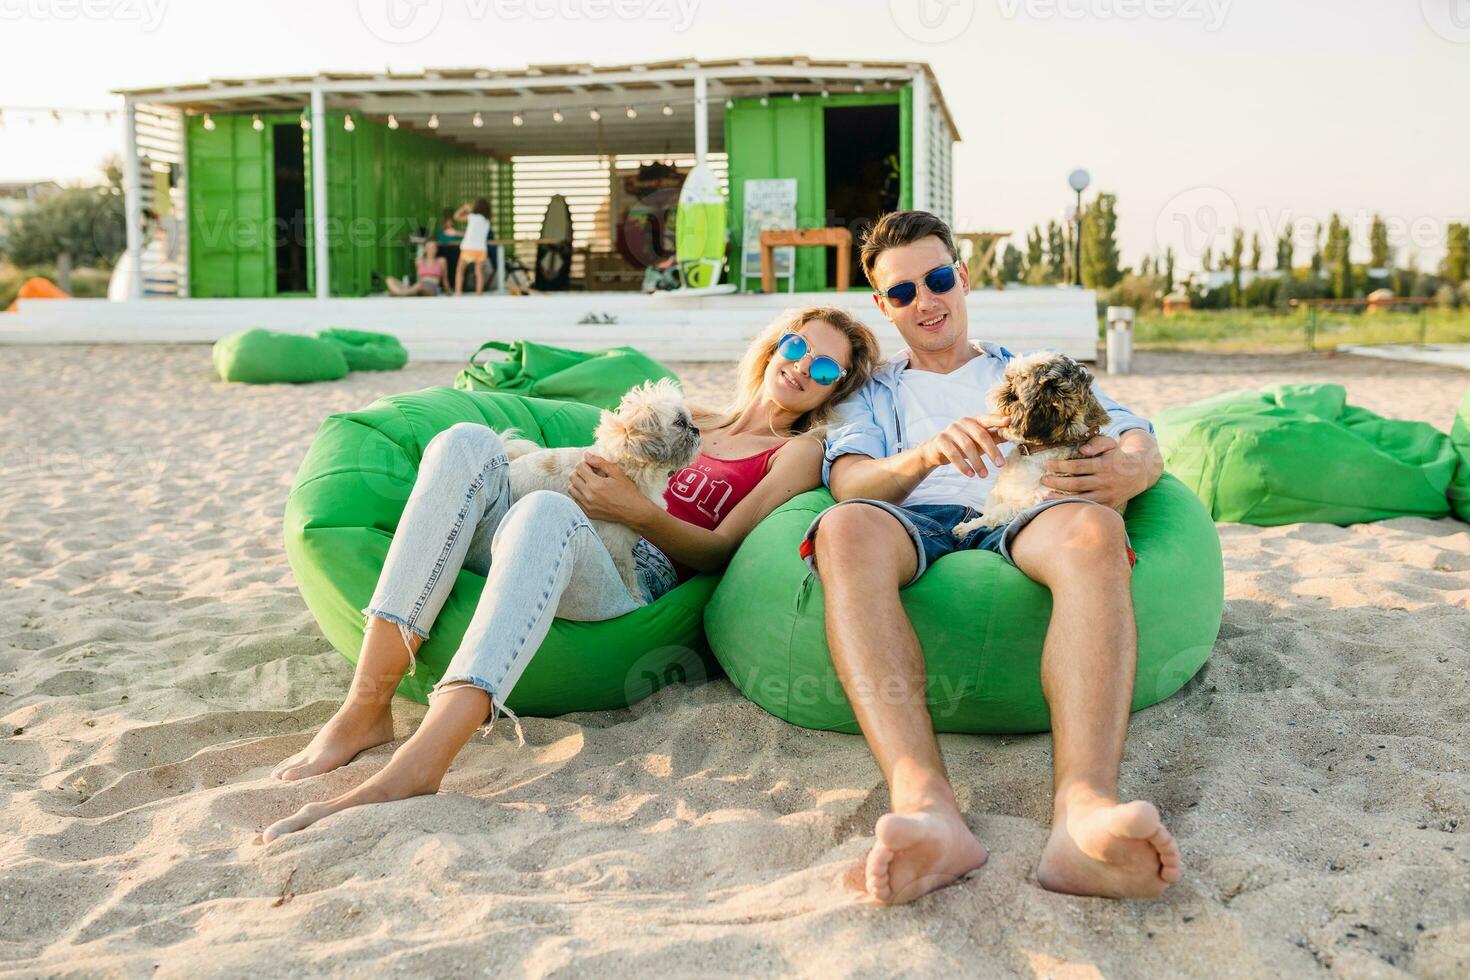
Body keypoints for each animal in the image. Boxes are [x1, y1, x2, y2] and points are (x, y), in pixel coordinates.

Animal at [496, 379, 696, 602]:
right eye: (680, 422)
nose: (696, 430)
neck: (628, 467)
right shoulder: (617, 545)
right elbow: (627, 575)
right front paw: (636, 599)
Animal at [958, 352, 1105, 537]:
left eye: (1012, 395)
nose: (997, 389)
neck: (1035, 451)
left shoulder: (1037, 498)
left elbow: (996, 512)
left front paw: (967, 527)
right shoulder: (1001, 489)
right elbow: (992, 503)